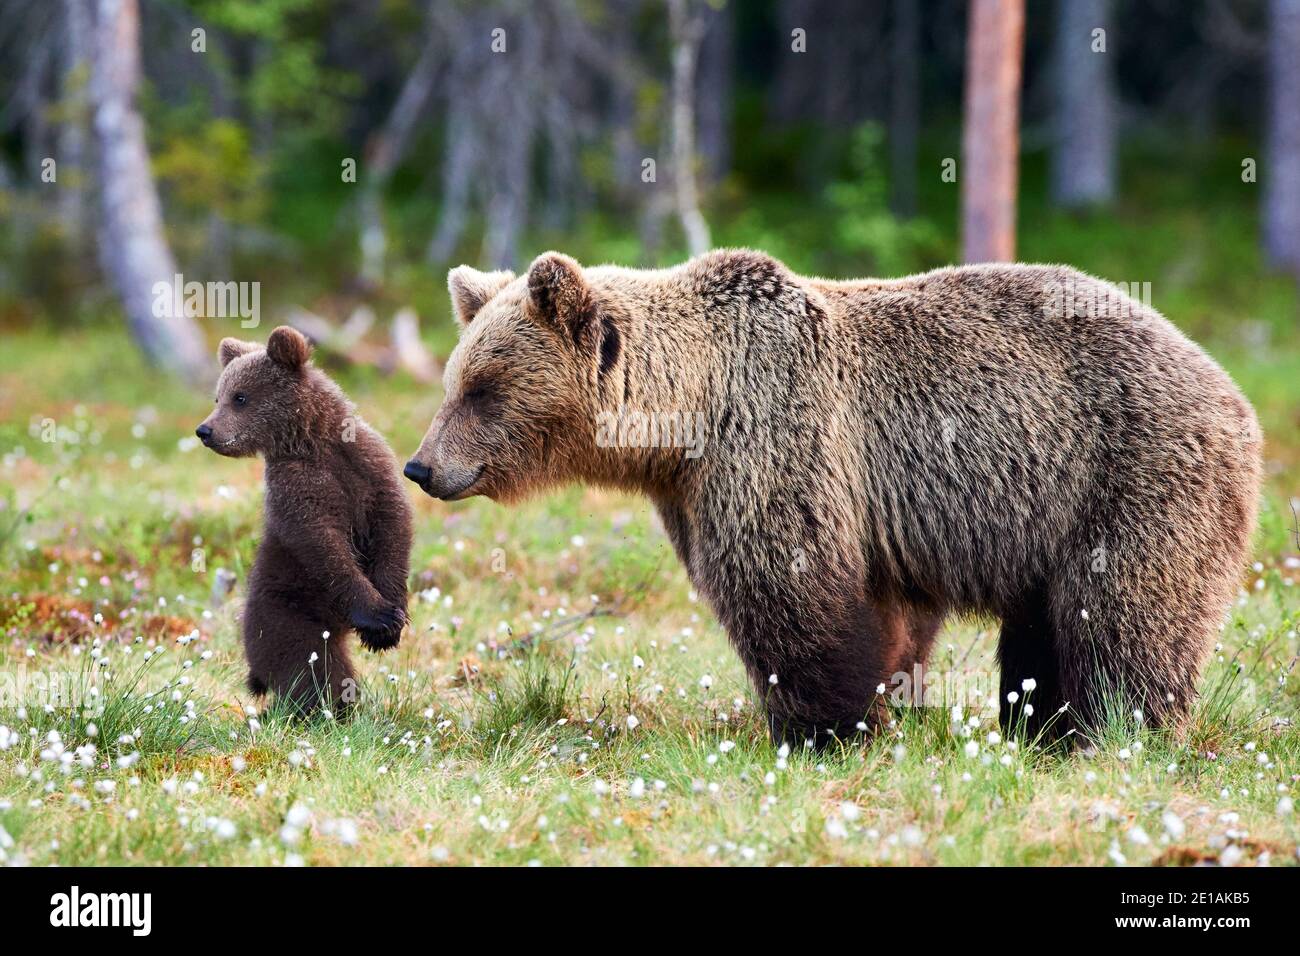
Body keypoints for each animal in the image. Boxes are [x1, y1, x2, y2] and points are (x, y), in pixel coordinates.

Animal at [196, 326, 413, 714]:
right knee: (317, 670)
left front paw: (392, 619)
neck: (314, 440)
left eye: (239, 397)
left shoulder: (370, 465)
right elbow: (322, 544)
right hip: (287, 615)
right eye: (217, 397)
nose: (205, 430)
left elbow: (394, 524)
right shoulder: (296, 489)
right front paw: (379, 617)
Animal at [402, 250, 1262, 748]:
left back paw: (1113, 728)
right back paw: (1040, 726)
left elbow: (789, 588)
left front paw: (824, 726)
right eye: (454, 380)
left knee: (1122, 614)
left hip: (1127, 475)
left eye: (483, 388)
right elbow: (886, 614)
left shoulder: (778, 441)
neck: (687, 417)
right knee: (1046, 626)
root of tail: (1233, 392)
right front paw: (881, 701)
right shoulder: (702, 490)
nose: (421, 466)